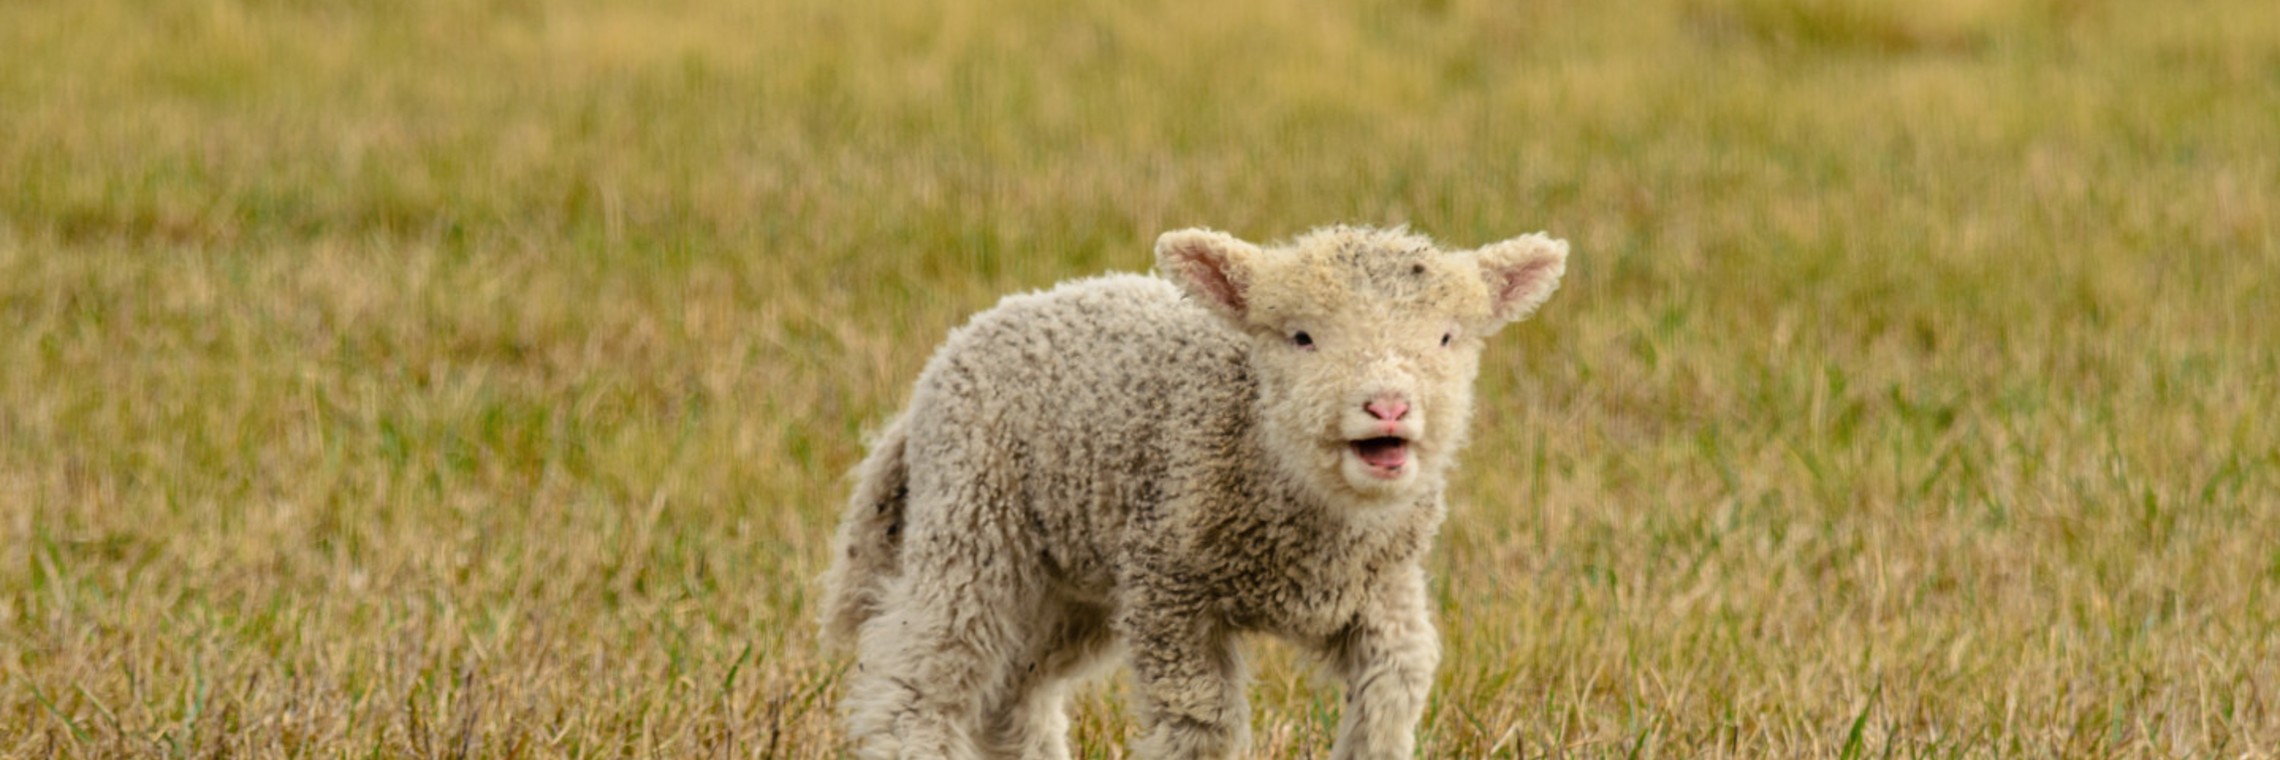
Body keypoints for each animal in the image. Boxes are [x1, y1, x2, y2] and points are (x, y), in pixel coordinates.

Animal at [819, 225, 1569, 759]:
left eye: (1446, 338)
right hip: (972, 516)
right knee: (919, 680)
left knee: (1013, 696)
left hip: (1072, 584)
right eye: (1301, 337)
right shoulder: (1168, 589)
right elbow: (1200, 723)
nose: (1387, 407)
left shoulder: (1381, 592)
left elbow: (1395, 691)